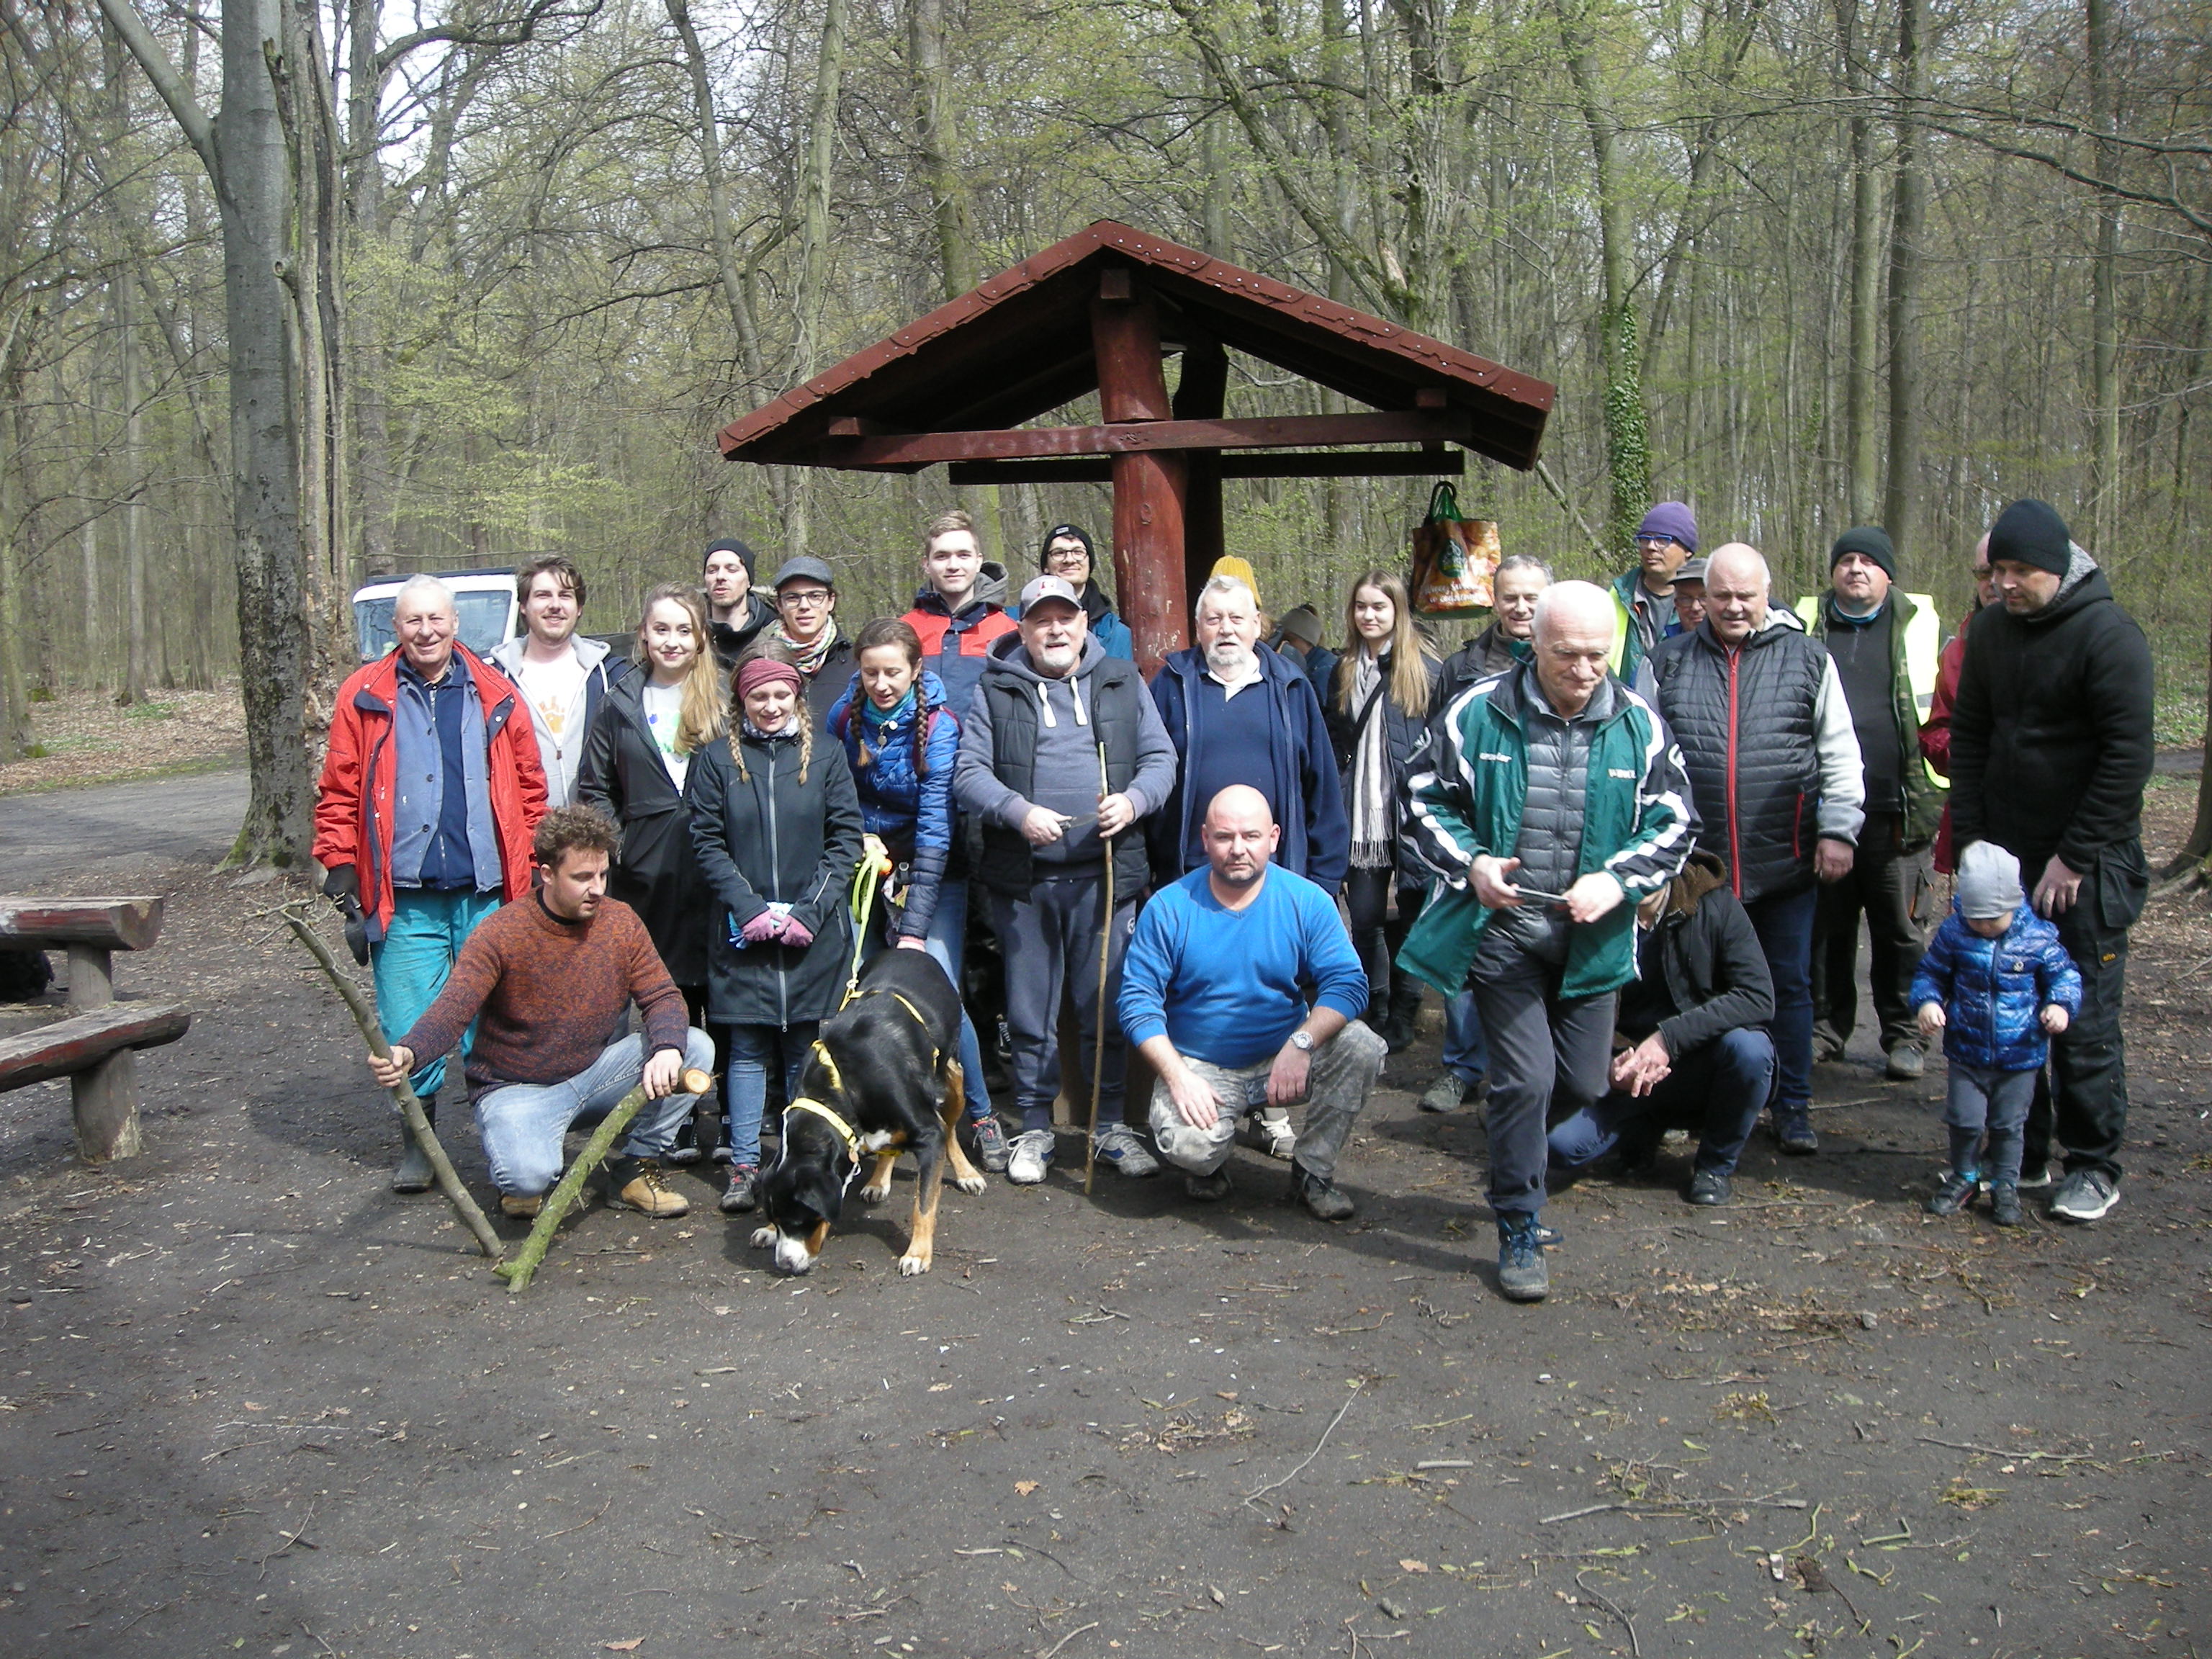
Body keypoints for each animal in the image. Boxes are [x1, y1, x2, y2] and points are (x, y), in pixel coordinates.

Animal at [747, 946, 981, 1274]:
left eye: (800, 1219)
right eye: (779, 1219)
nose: (784, 1264)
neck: (842, 1083)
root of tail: (908, 949)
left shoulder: (928, 1133)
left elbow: (923, 1204)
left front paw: (918, 1253)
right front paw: (768, 1231)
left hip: (954, 1078)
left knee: (950, 1131)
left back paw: (967, 1173)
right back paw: (878, 1181)